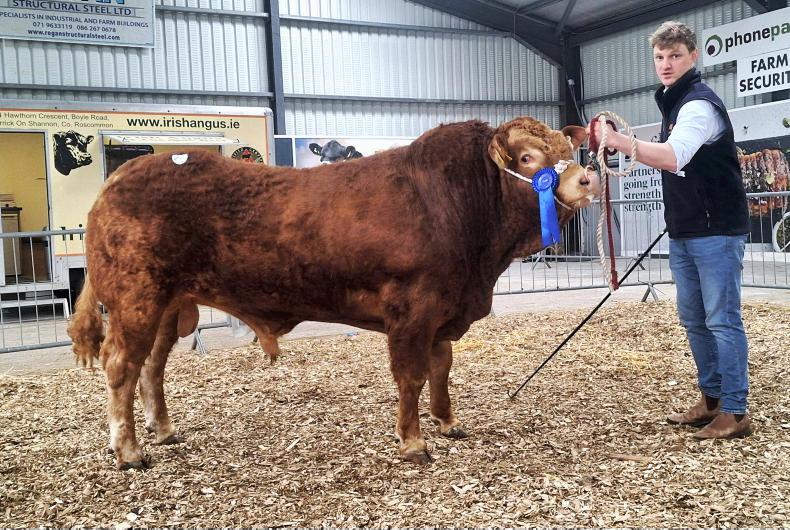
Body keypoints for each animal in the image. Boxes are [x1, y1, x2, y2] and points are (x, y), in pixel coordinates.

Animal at [68, 117, 599, 469]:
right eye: (528, 158)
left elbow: (441, 369)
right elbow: (411, 376)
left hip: (170, 304)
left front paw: (449, 423)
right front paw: (413, 443)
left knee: (151, 367)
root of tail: (119, 178)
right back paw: (129, 452)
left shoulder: (443, 310)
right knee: (122, 366)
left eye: (568, 149)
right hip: (136, 298)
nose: (587, 178)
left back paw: (163, 431)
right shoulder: (413, 308)